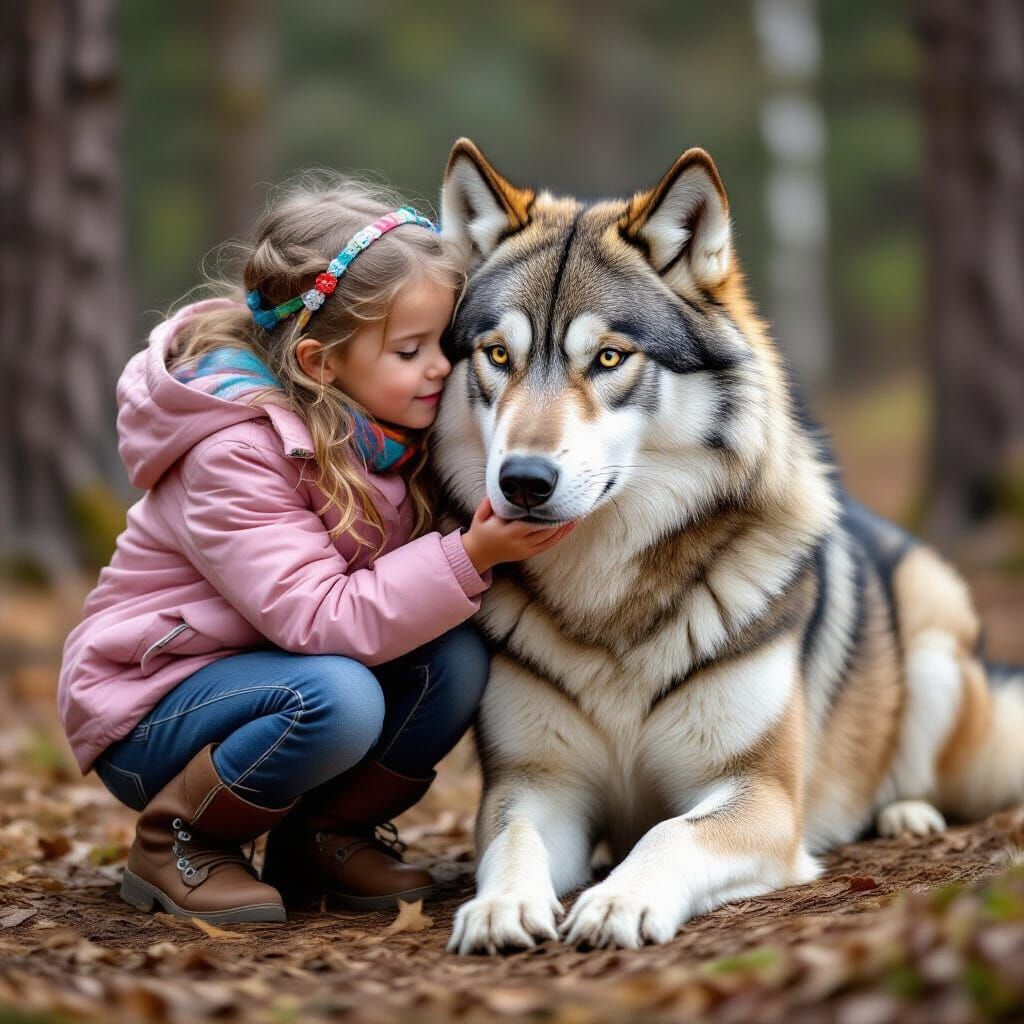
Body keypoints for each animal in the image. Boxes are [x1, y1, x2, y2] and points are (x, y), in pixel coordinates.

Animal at [431, 138, 1024, 954]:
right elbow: (511, 840)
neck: (608, 600)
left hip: (936, 653)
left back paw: (906, 811)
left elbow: (667, 834)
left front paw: (620, 900)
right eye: (496, 355)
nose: (522, 480)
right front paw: (499, 907)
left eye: (609, 359)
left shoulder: (761, 795)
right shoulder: (535, 786)